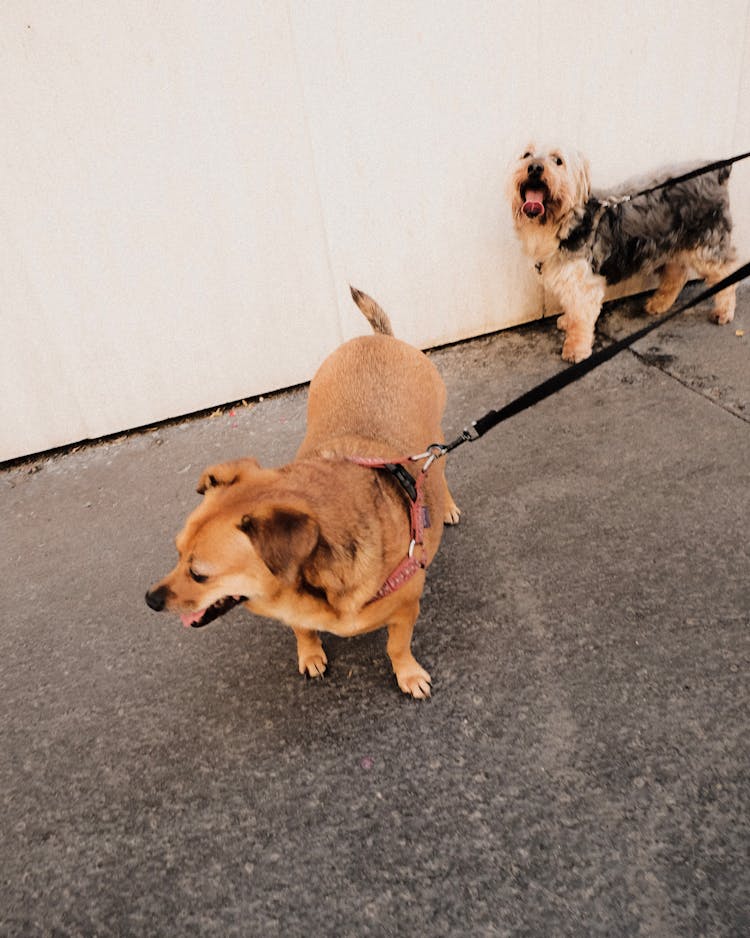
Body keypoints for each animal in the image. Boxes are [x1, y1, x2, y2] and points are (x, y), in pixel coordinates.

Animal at [147, 290, 462, 696]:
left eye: (199, 574)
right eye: (176, 553)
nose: (150, 600)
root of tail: (377, 338)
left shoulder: (406, 610)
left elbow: (397, 646)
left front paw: (407, 674)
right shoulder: (292, 612)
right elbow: (302, 630)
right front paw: (310, 653)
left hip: (434, 440)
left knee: (439, 464)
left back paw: (446, 506)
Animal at [508, 145, 736, 362]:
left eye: (558, 160)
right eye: (527, 154)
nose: (534, 168)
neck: (564, 223)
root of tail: (718, 171)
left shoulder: (585, 285)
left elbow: (581, 319)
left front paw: (576, 350)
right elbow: (572, 309)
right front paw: (567, 321)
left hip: (707, 246)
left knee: (726, 272)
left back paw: (724, 312)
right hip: (674, 245)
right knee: (677, 274)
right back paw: (659, 303)